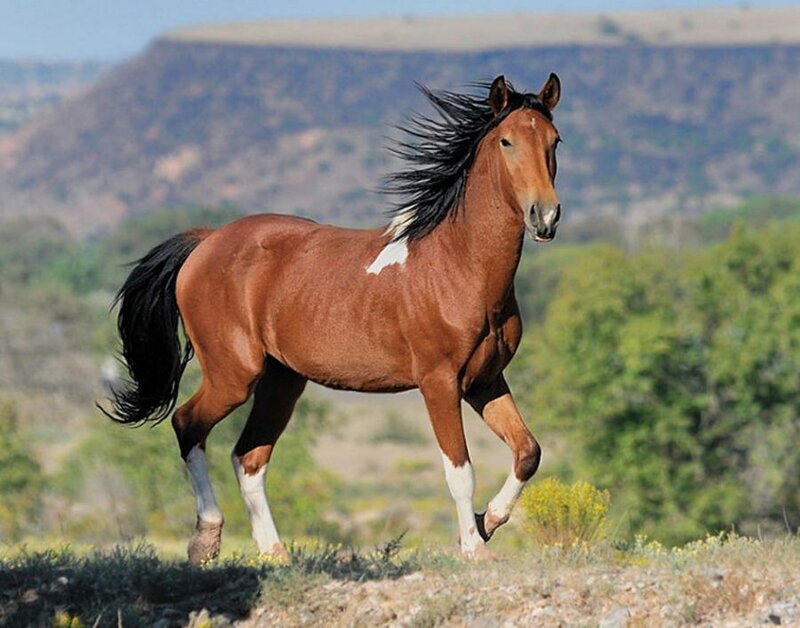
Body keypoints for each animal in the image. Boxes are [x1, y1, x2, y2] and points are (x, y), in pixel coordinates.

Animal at [104, 75, 564, 564]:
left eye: (555, 140)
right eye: (506, 141)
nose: (545, 216)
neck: (457, 265)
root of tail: (207, 241)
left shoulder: (485, 380)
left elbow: (528, 451)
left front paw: (487, 522)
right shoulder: (438, 382)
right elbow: (460, 471)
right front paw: (474, 547)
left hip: (282, 381)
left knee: (248, 457)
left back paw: (275, 553)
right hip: (234, 375)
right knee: (188, 425)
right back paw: (206, 541)